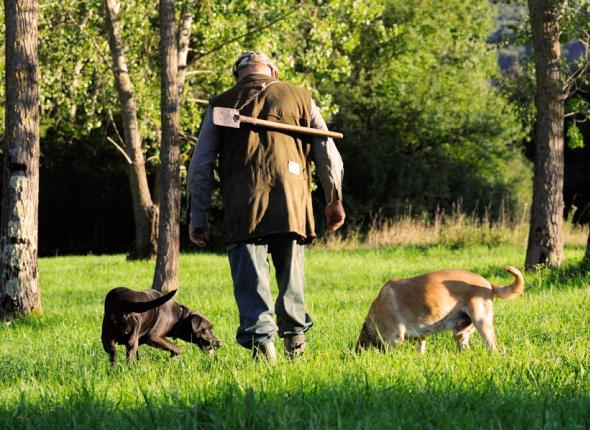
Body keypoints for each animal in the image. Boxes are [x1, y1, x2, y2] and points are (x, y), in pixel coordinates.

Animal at [358, 266, 524, 352]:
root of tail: (489, 284)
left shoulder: (395, 337)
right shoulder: (420, 338)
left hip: (482, 323)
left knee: (494, 348)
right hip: (461, 332)